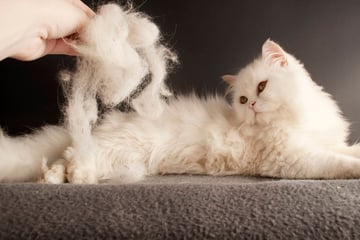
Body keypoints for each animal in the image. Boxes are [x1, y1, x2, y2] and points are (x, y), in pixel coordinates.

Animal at [0, 39, 360, 183]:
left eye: (261, 88)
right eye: (244, 100)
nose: (255, 106)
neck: (298, 119)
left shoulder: (325, 141)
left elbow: (347, 150)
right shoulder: (291, 158)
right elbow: (337, 163)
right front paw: (355, 169)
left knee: (65, 160)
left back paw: (55, 176)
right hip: (110, 150)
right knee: (72, 159)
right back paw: (64, 177)